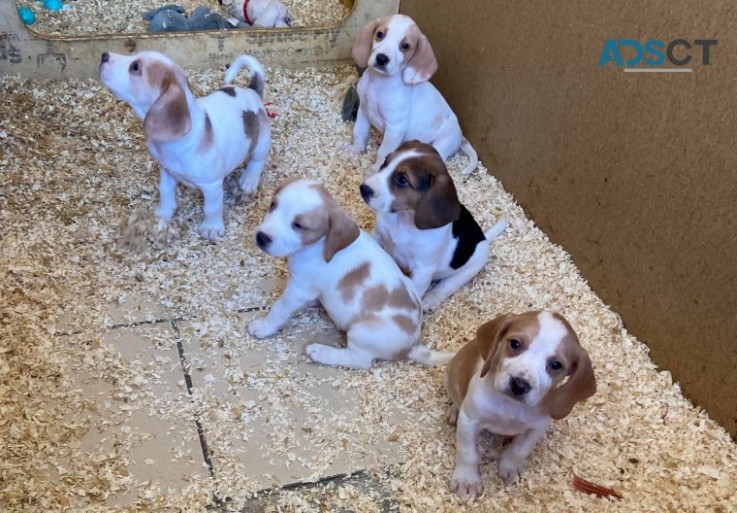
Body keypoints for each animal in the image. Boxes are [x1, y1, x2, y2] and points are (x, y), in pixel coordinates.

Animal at [98, 51, 270, 239]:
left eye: (135, 67)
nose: (104, 55)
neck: (175, 143)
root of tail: (252, 90)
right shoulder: (167, 172)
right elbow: (165, 193)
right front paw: (162, 215)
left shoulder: (212, 185)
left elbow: (212, 208)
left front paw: (211, 228)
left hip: (262, 144)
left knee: (257, 162)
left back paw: (248, 181)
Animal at [249, 179, 454, 368]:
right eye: (273, 205)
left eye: (298, 225)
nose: (261, 237)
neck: (320, 245)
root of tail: (413, 345)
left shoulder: (298, 289)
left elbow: (279, 309)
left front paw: (263, 327)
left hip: (361, 332)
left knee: (359, 361)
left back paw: (321, 352)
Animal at [350, 14, 478, 176]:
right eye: (380, 34)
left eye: (405, 46)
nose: (381, 58)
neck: (378, 83)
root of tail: (461, 136)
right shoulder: (364, 110)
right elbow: (359, 132)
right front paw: (355, 151)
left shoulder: (395, 128)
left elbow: (383, 152)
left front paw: (375, 169)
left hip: (441, 144)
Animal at [358, 139, 506, 312]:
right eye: (385, 163)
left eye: (402, 180)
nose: (363, 188)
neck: (403, 219)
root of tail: (483, 237)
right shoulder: (379, 236)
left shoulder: (423, 270)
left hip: (469, 269)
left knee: (446, 286)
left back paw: (430, 300)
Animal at [442, 310, 600, 498]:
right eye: (515, 344)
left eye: (556, 365)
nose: (518, 384)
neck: (511, 407)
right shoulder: (470, 420)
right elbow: (467, 453)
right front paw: (467, 480)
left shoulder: (537, 428)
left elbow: (520, 450)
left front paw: (509, 466)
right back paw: (454, 410)